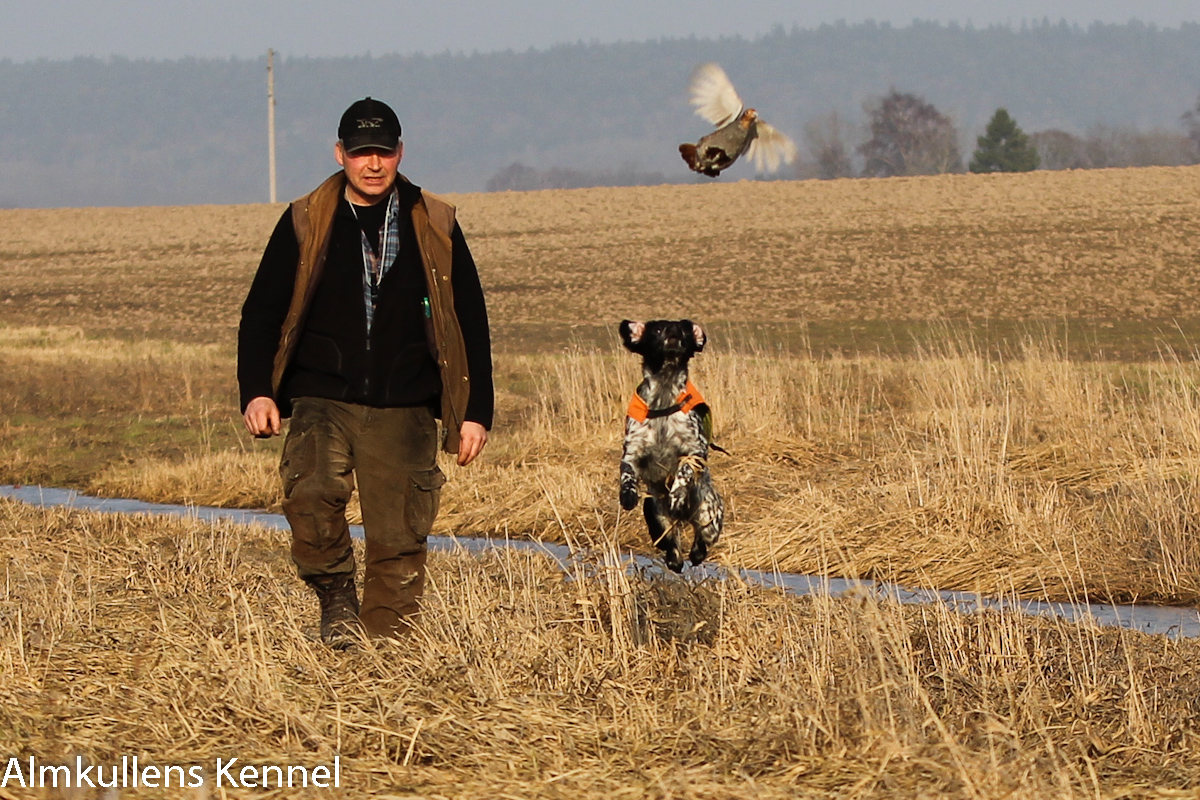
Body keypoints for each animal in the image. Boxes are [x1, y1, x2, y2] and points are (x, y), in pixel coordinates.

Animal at [618, 319, 725, 572]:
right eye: (657, 329)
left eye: (684, 329)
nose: (675, 331)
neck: (664, 393)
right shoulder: (632, 452)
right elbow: (627, 473)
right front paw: (628, 494)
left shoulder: (696, 450)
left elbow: (683, 471)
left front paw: (677, 496)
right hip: (656, 517)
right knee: (673, 550)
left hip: (709, 516)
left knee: (701, 541)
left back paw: (695, 550)